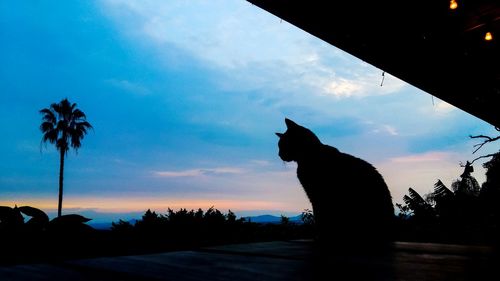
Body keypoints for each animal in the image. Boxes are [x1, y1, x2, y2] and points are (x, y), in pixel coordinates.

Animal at [278, 117, 394, 248]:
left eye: (283, 145)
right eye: (279, 146)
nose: (279, 155)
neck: (309, 155)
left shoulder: (318, 196)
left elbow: (320, 217)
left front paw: (321, 237)